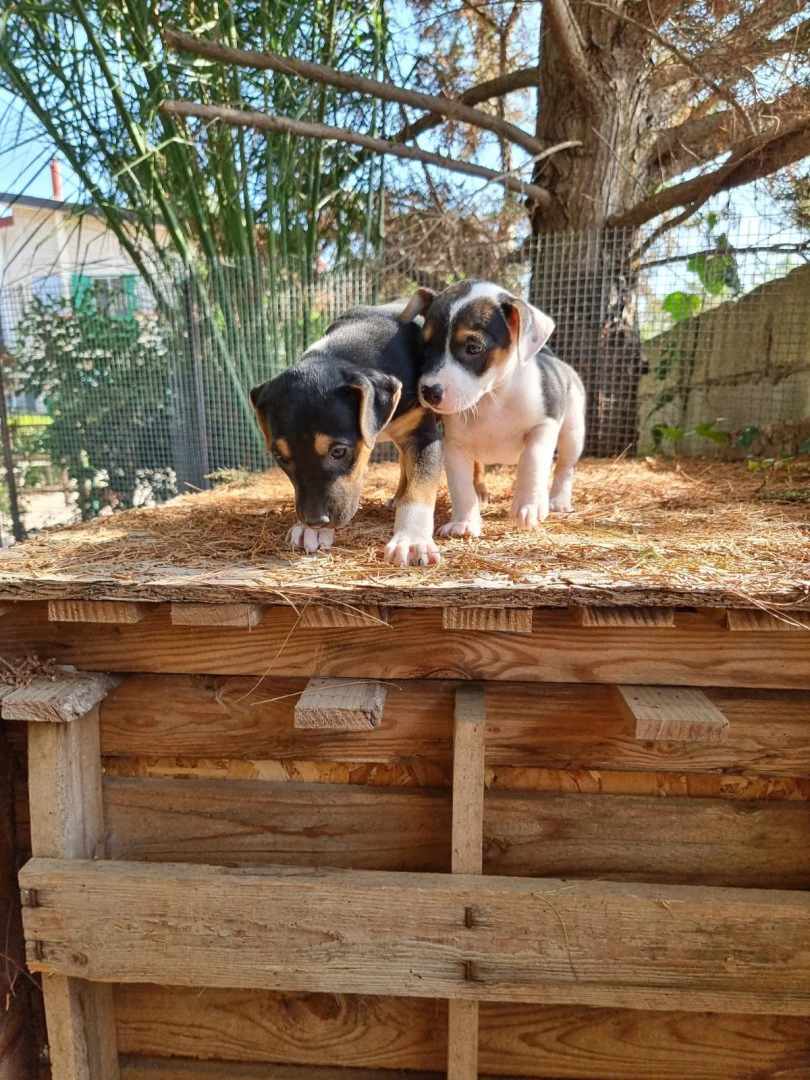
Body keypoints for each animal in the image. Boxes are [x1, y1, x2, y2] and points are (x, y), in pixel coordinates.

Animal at [253, 298, 444, 565]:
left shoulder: (424, 437)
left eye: (338, 451)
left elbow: (420, 486)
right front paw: (309, 532)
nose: (315, 521)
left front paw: (412, 540)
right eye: (281, 458)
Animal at [403, 280, 587, 537]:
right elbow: (460, 485)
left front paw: (528, 506)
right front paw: (464, 522)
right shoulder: (455, 447)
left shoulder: (543, 427)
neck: (491, 400)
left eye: (474, 348)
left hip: (572, 434)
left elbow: (532, 461)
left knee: (565, 467)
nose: (429, 392)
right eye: (424, 347)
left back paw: (558, 500)